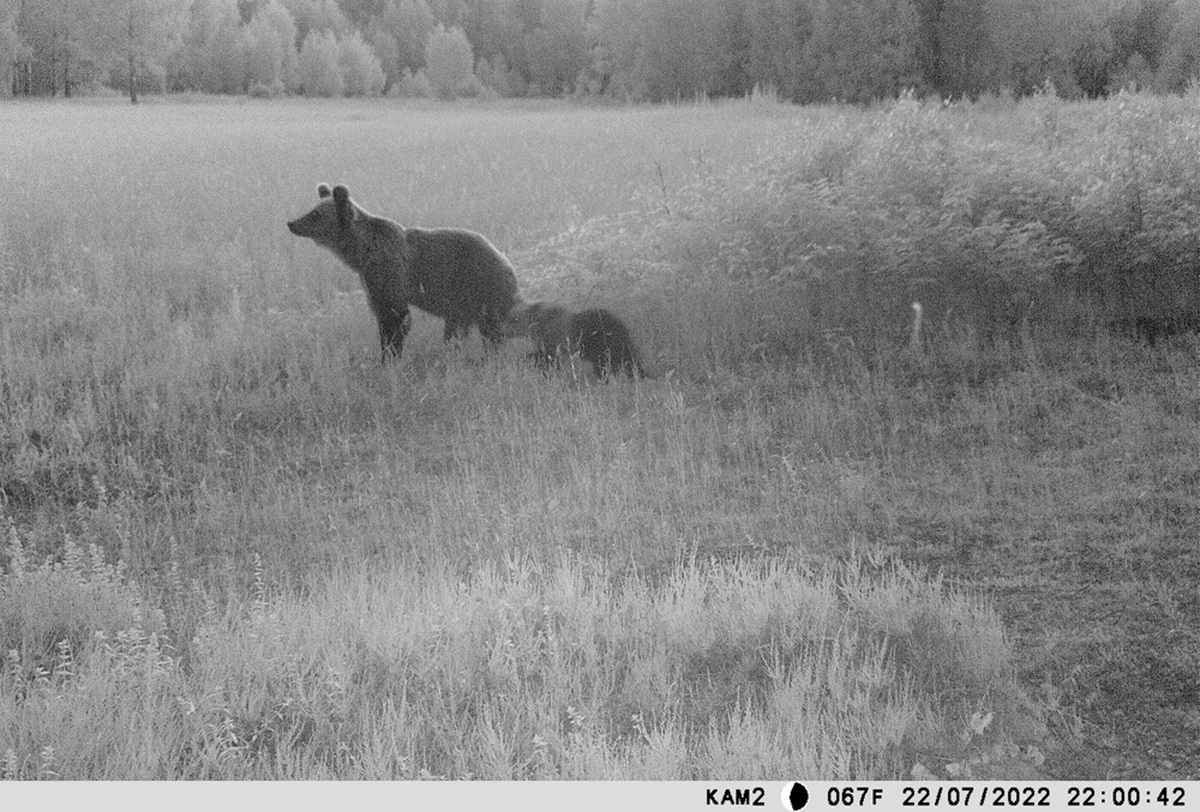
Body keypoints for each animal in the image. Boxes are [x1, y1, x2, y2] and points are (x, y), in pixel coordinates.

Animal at [289, 184, 520, 362]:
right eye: (311, 208)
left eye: (315, 214)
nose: (291, 223)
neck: (361, 252)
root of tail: (506, 262)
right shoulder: (369, 279)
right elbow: (382, 315)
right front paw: (385, 353)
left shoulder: (388, 271)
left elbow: (395, 316)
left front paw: (390, 356)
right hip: (462, 300)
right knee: (459, 329)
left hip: (480, 284)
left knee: (491, 328)